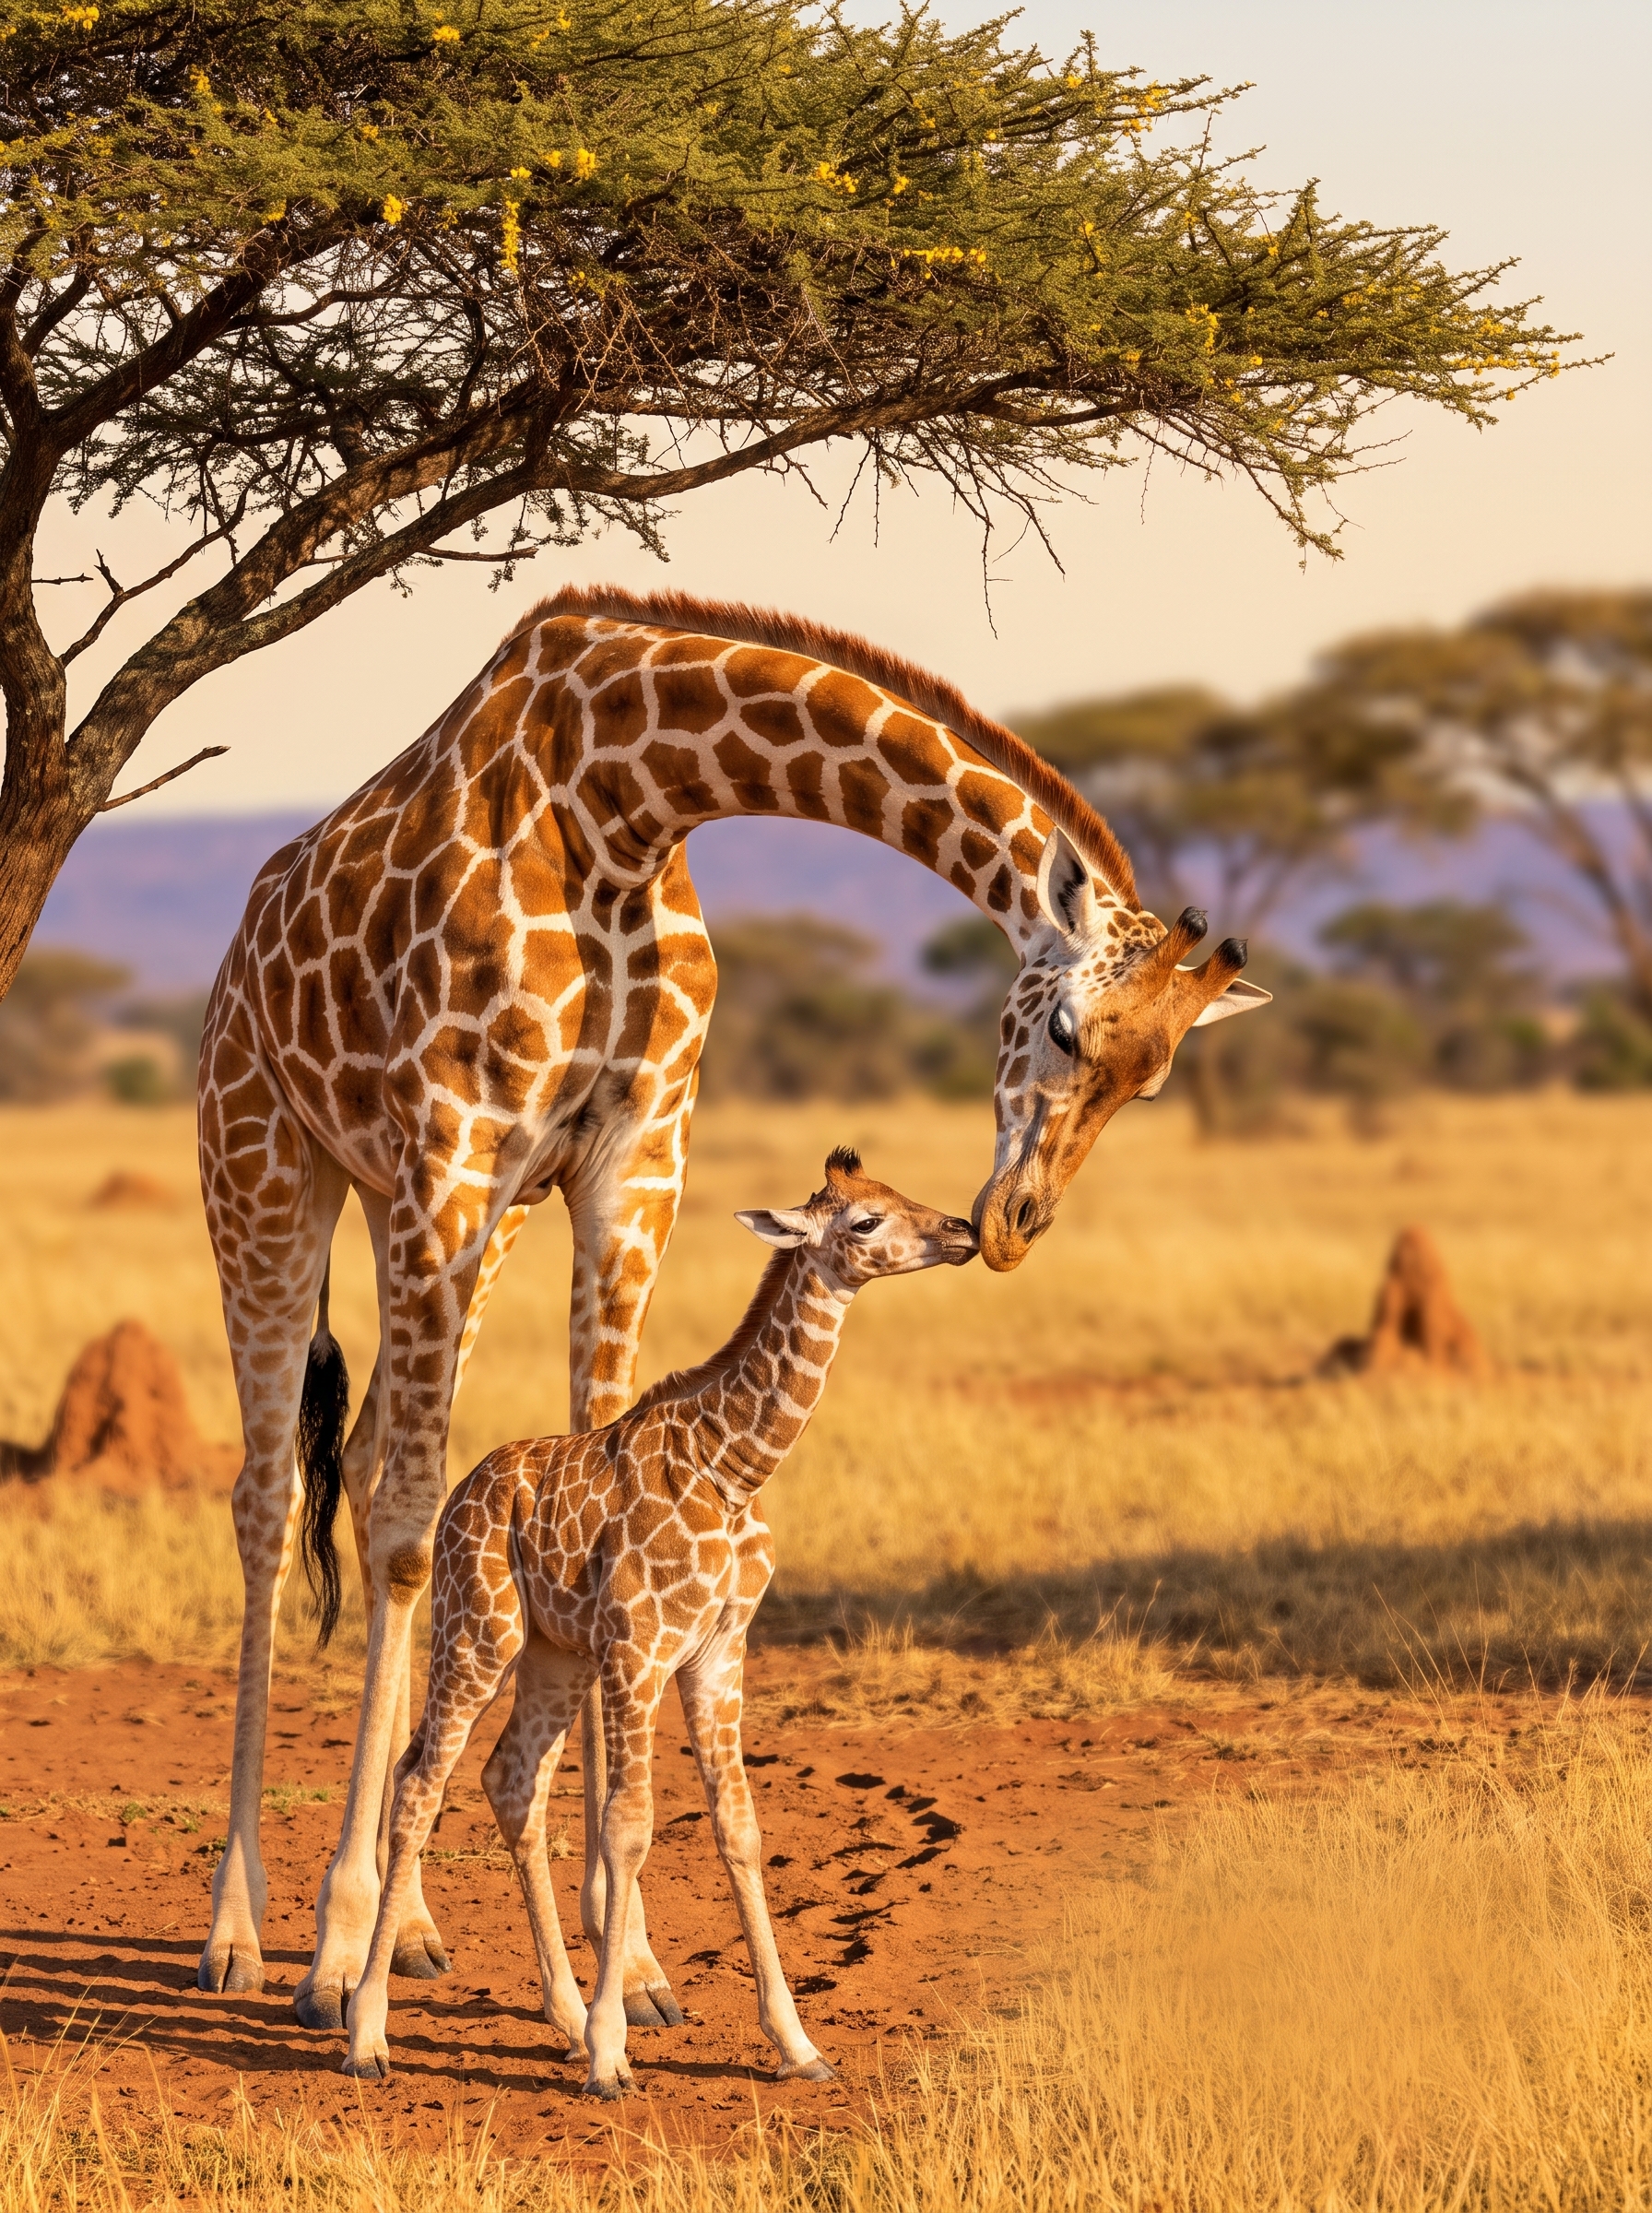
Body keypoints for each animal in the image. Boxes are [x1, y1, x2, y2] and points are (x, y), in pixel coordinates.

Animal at [342, 1150, 978, 2095]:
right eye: (864, 1222)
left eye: (899, 1194)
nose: (964, 1231)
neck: (734, 1466)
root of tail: (464, 1495)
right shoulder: (640, 1647)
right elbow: (629, 1825)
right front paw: (615, 2053)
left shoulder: (718, 1651)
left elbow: (739, 1828)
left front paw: (797, 2045)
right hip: (479, 1632)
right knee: (421, 1780)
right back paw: (368, 2033)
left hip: (554, 1657)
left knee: (510, 1780)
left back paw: (563, 2017)